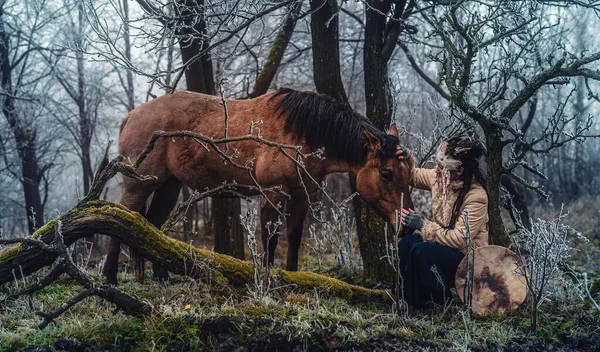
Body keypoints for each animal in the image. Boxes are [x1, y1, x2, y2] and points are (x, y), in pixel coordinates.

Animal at [102, 88, 412, 286]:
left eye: (408, 173)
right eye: (386, 174)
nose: (406, 221)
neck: (303, 133)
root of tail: (131, 116)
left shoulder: (302, 196)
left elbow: (294, 238)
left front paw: (293, 277)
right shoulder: (273, 193)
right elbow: (270, 239)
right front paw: (266, 280)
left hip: (169, 186)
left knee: (152, 225)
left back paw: (162, 278)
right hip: (138, 184)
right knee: (118, 221)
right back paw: (109, 278)